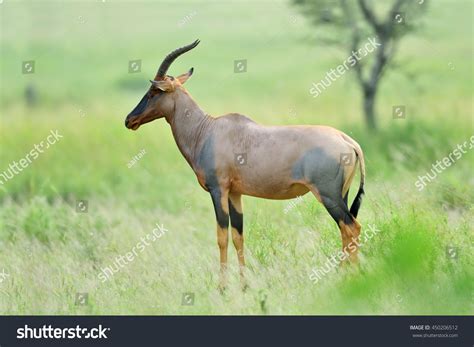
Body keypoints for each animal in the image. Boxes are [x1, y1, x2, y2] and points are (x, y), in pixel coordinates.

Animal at [125, 40, 366, 290]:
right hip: (342, 194)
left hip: (328, 195)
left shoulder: (218, 190)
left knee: (352, 227)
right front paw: (243, 285)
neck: (208, 130)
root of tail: (348, 141)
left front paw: (222, 287)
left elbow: (221, 236)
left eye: (154, 91)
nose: (129, 120)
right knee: (346, 230)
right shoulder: (235, 194)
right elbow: (238, 236)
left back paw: (350, 276)